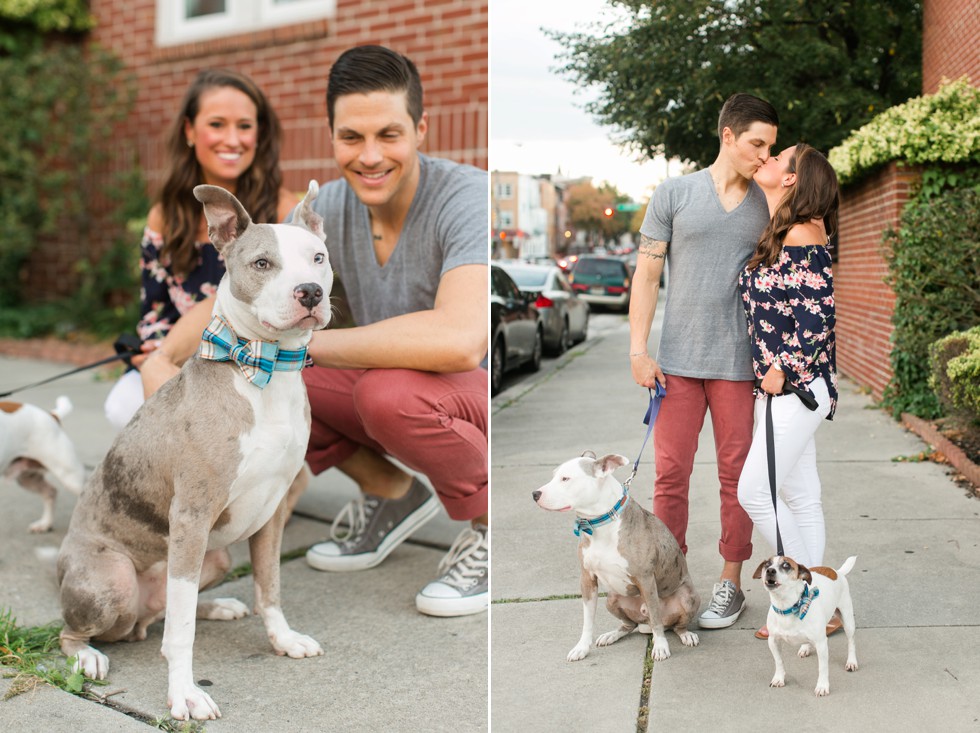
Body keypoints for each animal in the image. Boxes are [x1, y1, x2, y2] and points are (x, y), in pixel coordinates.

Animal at [57, 180, 334, 716]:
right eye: (262, 263)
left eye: (319, 258)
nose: (310, 292)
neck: (262, 369)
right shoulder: (191, 515)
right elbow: (181, 633)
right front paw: (184, 693)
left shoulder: (272, 512)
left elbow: (270, 586)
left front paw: (283, 639)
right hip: (115, 577)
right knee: (83, 631)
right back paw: (88, 657)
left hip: (210, 556)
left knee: (168, 609)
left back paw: (217, 606)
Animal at [532, 452, 700, 664]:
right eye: (554, 476)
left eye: (565, 478)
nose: (535, 494)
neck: (599, 524)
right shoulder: (587, 579)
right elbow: (587, 620)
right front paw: (581, 647)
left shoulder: (646, 580)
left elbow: (656, 617)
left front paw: (661, 646)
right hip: (611, 598)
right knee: (629, 625)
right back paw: (612, 635)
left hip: (687, 598)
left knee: (672, 624)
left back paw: (686, 634)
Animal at [752, 556, 856, 696]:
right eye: (767, 564)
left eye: (786, 565)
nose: (770, 570)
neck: (788, 607)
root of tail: (836, 572)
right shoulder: (773, 641)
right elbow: (779, 661)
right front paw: (779, 678)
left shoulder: (821, 644)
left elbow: (823, 668)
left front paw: (822, 686)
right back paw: (805, 648)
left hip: (847, 620)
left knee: (851, 642)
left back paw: (852, 662)